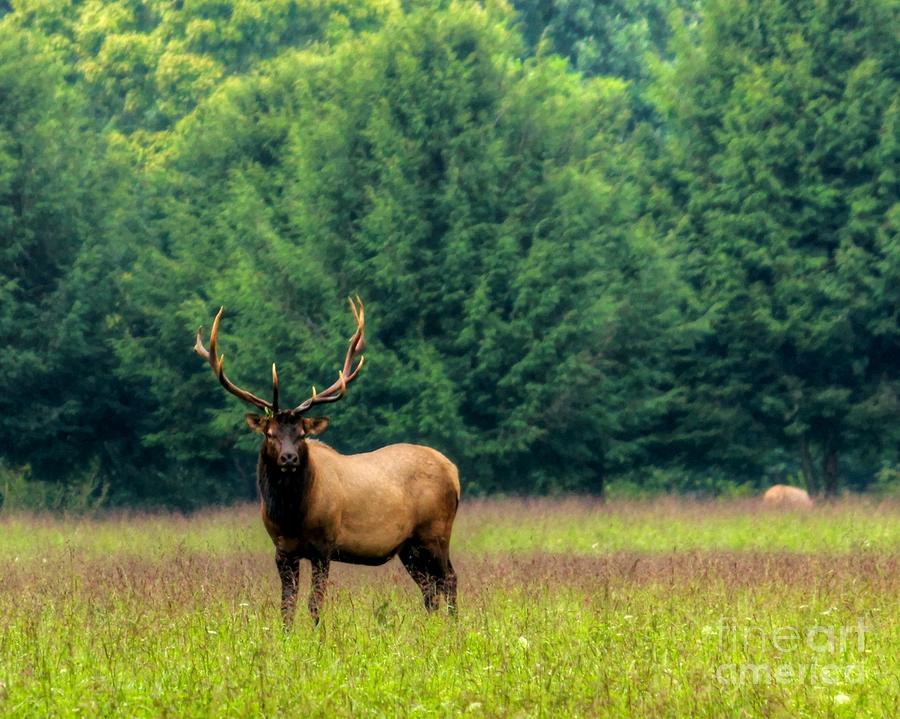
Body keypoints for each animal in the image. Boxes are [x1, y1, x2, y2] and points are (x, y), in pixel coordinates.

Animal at [194, 298, 460, 624]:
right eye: (270, 433)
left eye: (301, 433)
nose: (289, 458)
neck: (291, 515)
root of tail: (453, 470)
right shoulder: (282, 550)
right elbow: (287, 606)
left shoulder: (324, 545)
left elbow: (314, 603)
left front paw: (317, 634)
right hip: (408, 546)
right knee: (429, 590)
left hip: (436, 531)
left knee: (448, 579)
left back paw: (453, 625)